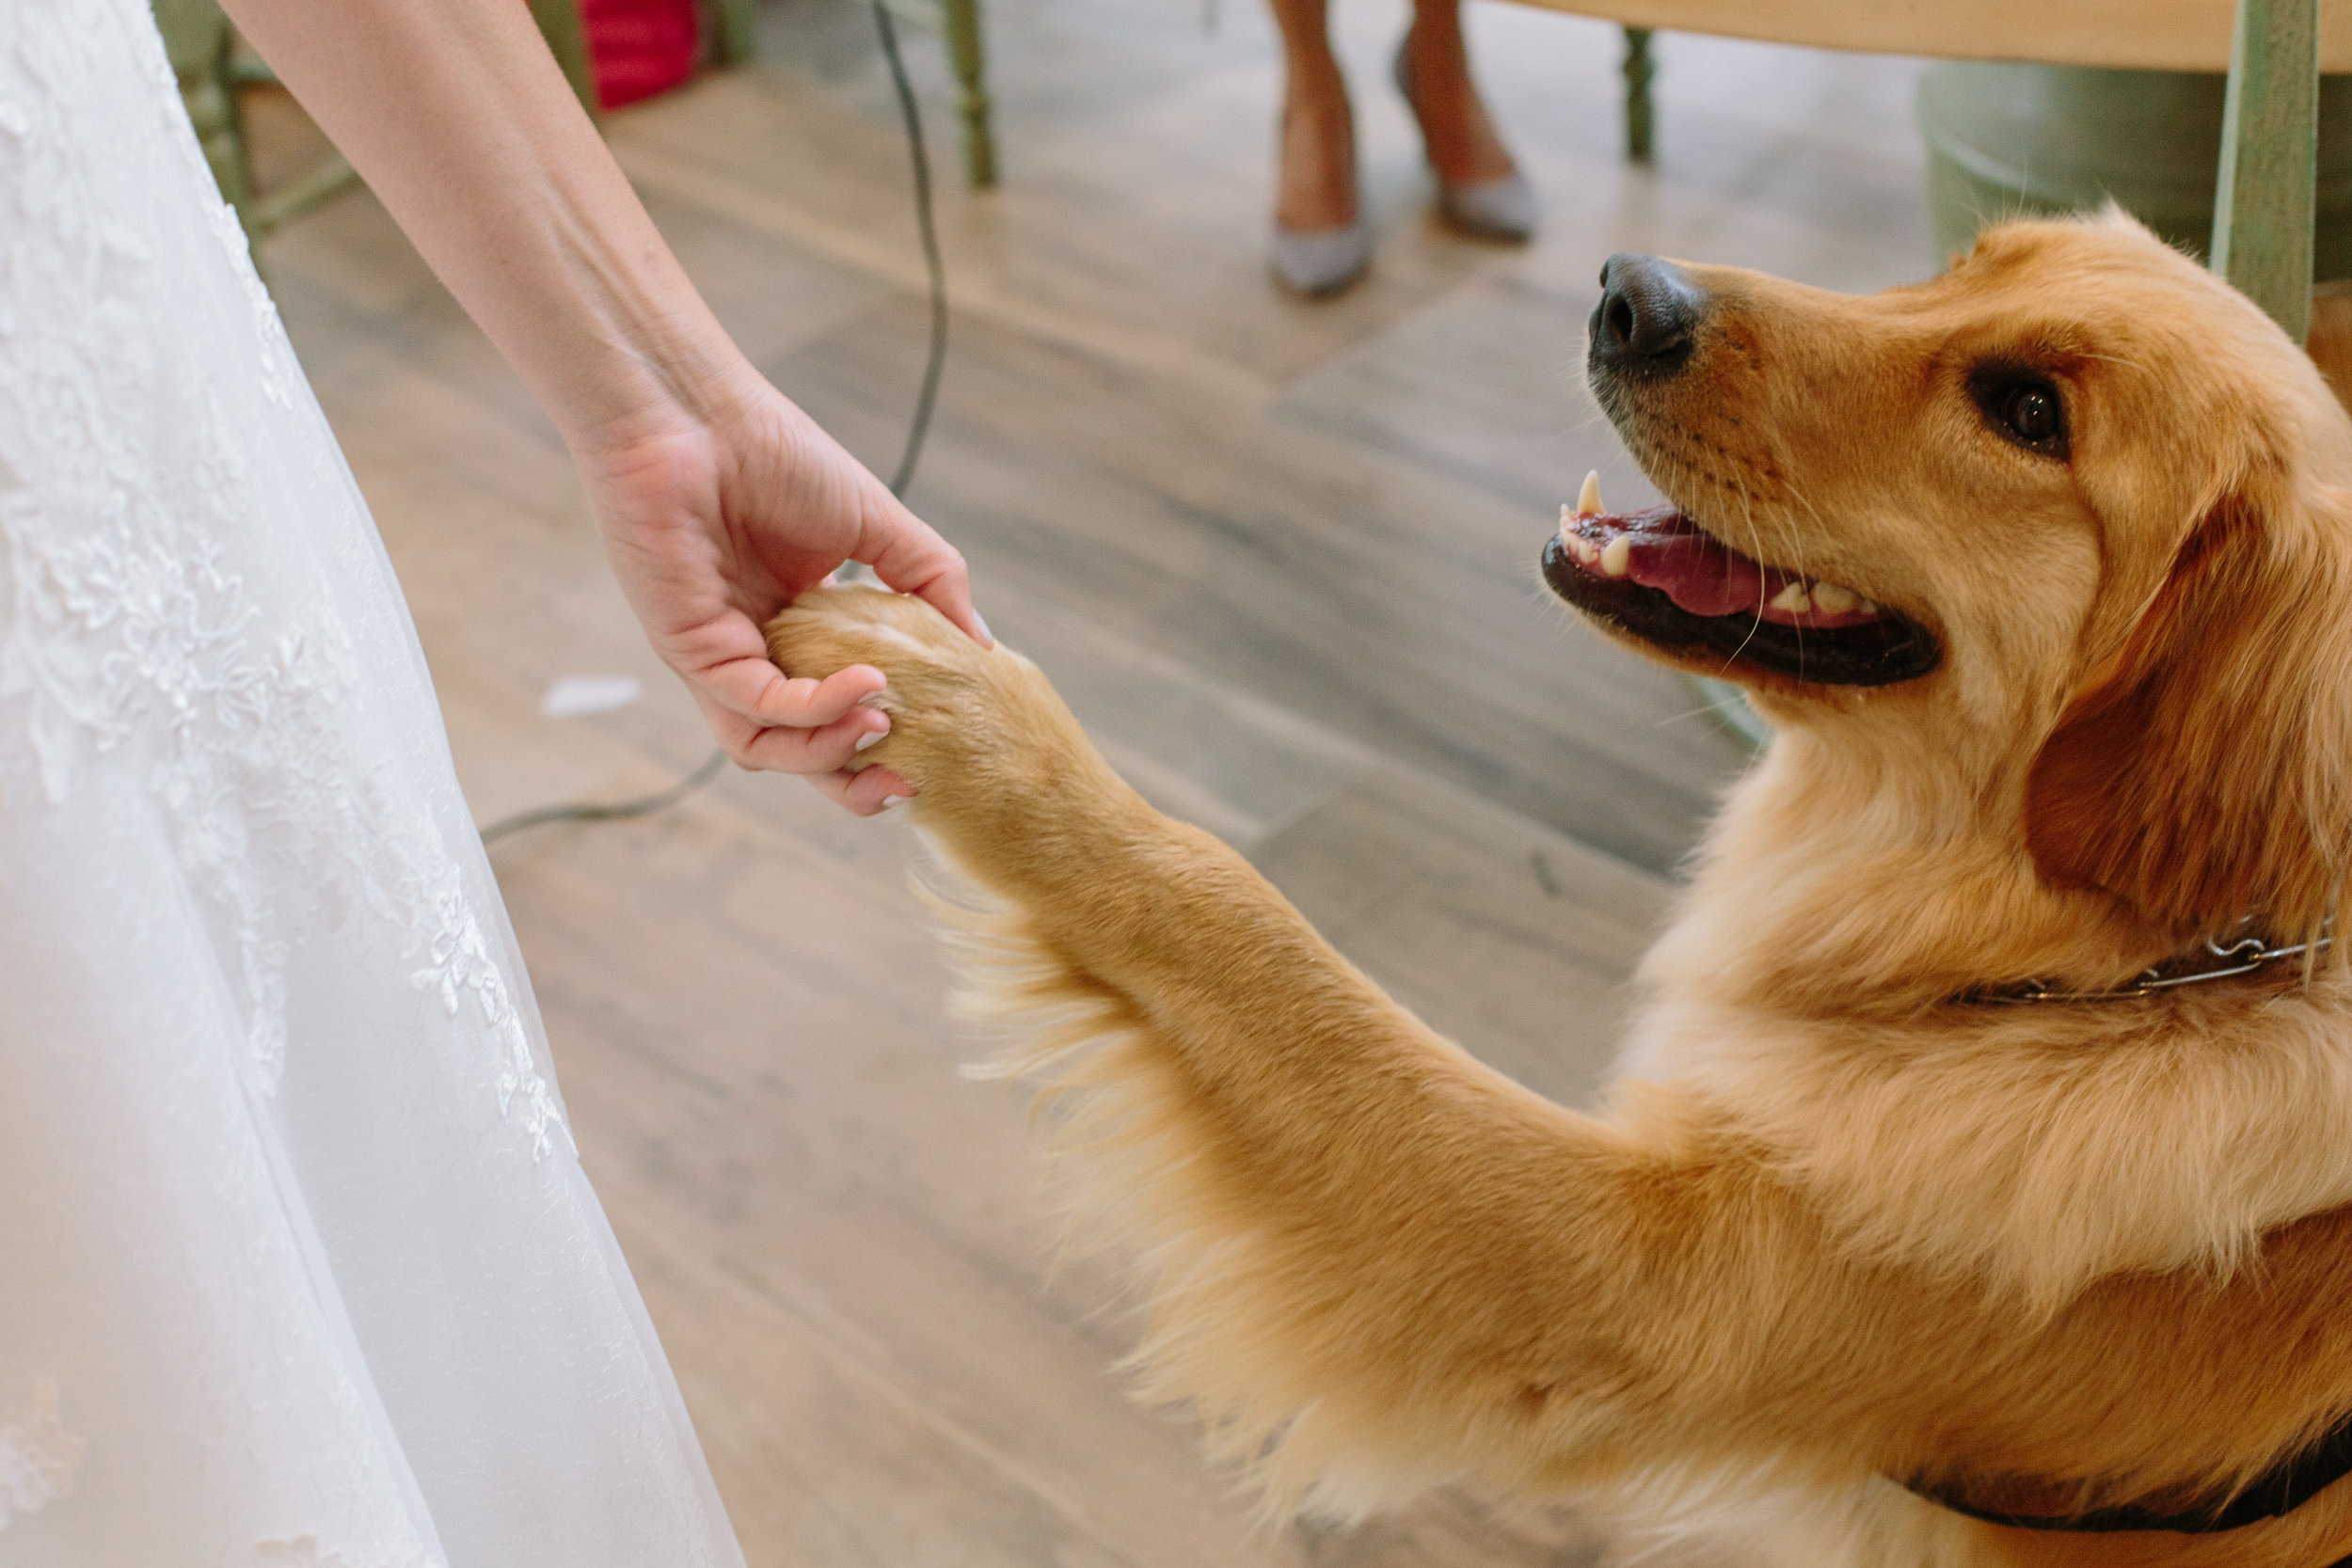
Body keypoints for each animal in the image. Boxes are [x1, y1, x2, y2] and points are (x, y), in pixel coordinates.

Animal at [771, 217, 2352, 1568]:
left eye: (2028, 413)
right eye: (1962, 265)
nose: (1627, 294)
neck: (2127, 969)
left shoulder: (1620, 1284)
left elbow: (1242, 916)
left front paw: (968, 710)